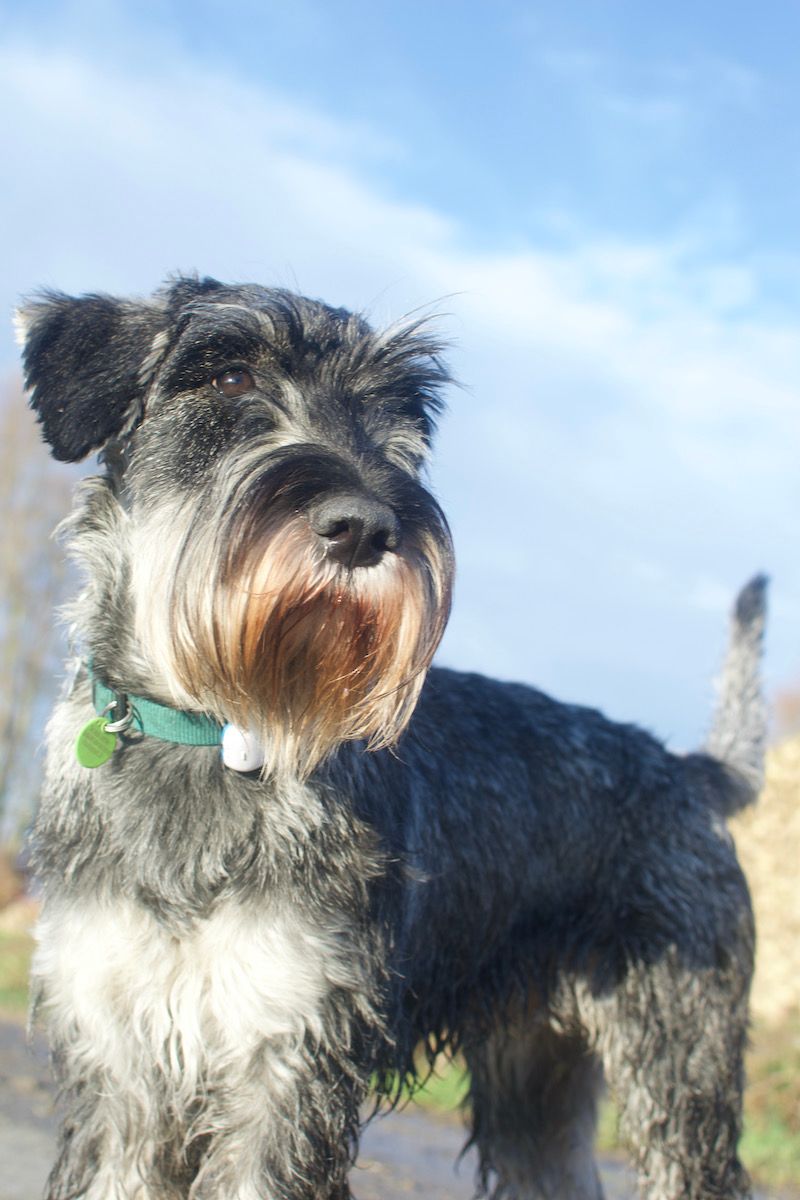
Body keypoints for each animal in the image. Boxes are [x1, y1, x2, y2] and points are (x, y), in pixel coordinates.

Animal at [18, 276, 766, 1200]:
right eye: (229, 377)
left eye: (398, 416)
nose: (366, 526)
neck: (207, 733)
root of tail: (692, 773)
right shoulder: (118, 1073)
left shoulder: (286, 1062)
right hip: (536, 1088)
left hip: (679, 1067)